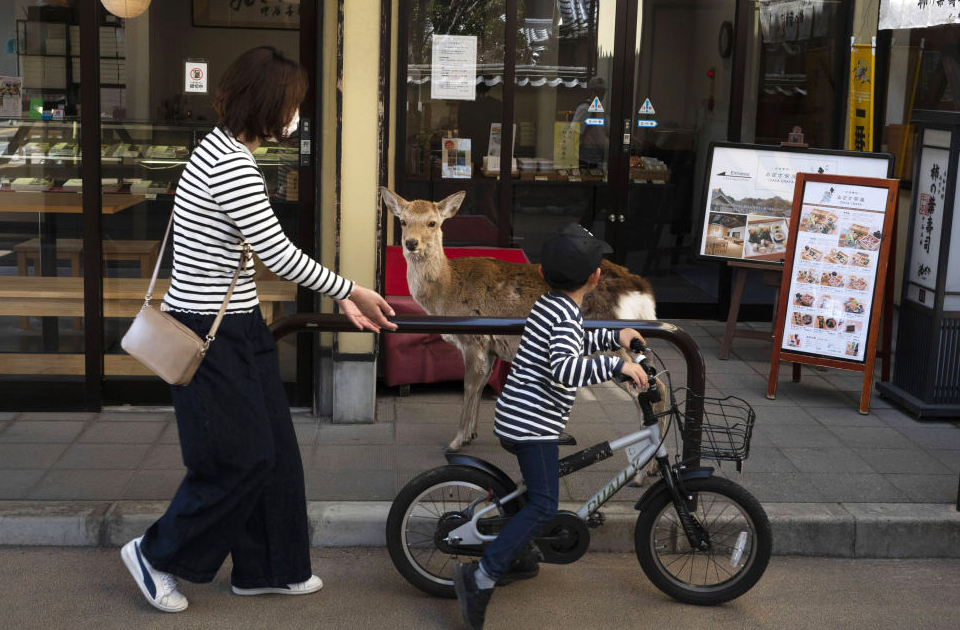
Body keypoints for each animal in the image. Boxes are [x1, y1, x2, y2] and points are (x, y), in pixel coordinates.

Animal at [380, 186, 660, 460]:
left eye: (432, 222)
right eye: (403, 221)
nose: (411, 243)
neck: (447, 290)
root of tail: (643, 291)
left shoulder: (473, 340)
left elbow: (468, 385)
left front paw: (456, 441)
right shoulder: (491, 347)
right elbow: (481, 385)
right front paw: (471, 434)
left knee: (647, 387)